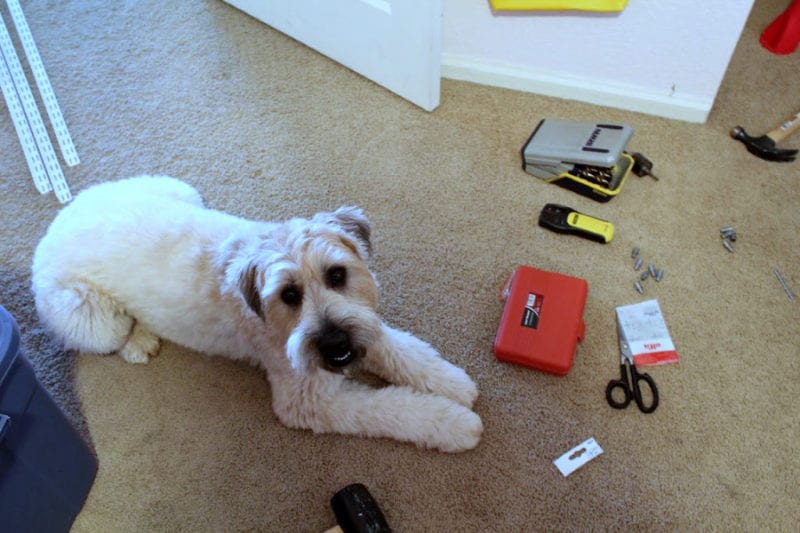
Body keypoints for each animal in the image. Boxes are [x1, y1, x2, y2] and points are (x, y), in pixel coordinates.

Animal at [31, 177, 482, 450]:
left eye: (337, 274)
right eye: (288, 294)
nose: (335, 344)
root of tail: (58, 220)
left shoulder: (363, 325)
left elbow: (403, 351)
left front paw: (451, 382)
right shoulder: (307, 401)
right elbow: (392, 408)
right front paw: (455, 423)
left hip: (179, 188)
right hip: (91, 318)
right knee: (113, 332)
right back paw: (136, 342)